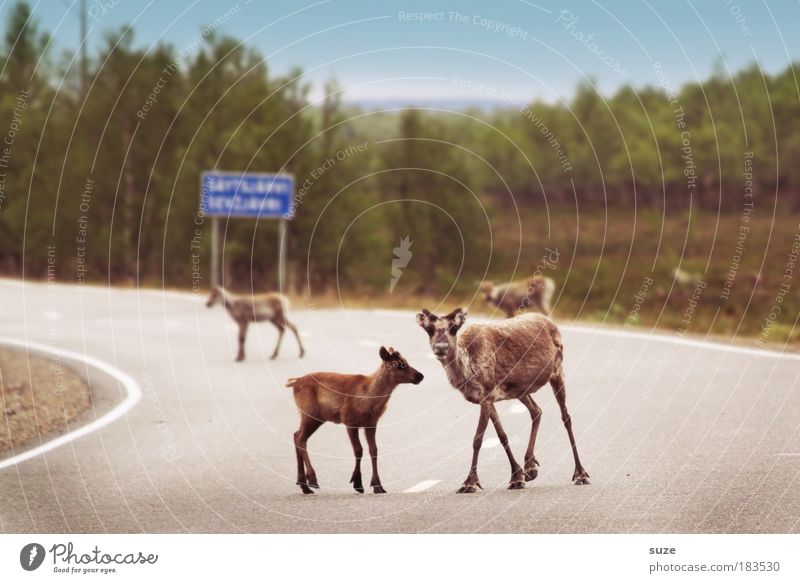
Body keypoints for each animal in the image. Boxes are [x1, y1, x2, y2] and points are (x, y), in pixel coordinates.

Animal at [288, 350, 424, 496]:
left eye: (406, 361)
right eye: (399, 365)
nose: (420, 376)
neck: (368, 397)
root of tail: (295, 382)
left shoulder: (371, 422)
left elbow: (374, 450)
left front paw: (378, 486)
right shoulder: (350, 420)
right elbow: (359, 450)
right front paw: (358, 483)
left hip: (314, 416)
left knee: (296, 435)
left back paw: (304, 485)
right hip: (311, 413)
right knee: (300, 438)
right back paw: (312, 480)